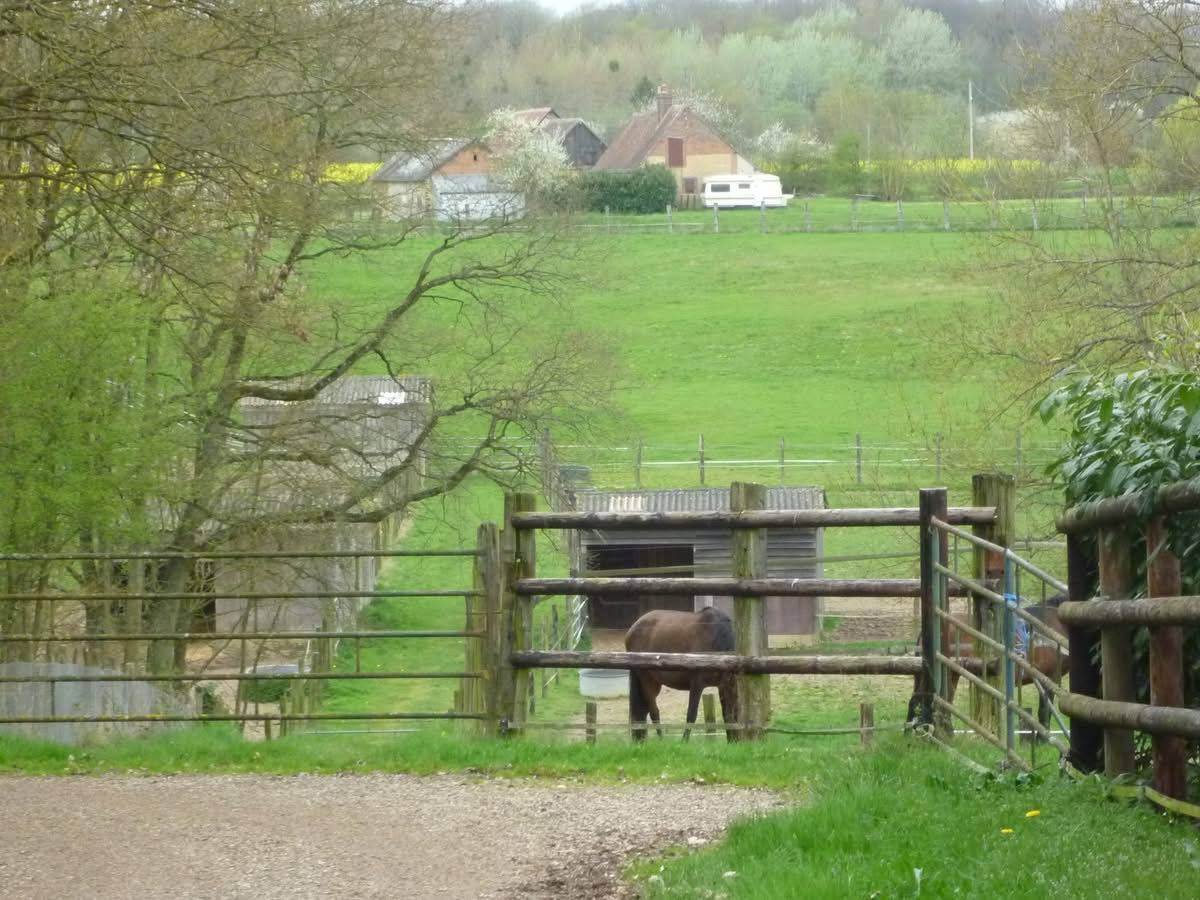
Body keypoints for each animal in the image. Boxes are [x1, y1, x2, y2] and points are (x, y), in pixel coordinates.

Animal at [624, 606, 740, 743]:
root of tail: (633, 628)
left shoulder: (723, 685)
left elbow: (727, 715)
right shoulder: (697, 685)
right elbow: (691, 715)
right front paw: (684, 741)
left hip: (655, 683)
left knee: (644, 711)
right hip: (645, 679)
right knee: (654, 712)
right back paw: (661, 740)